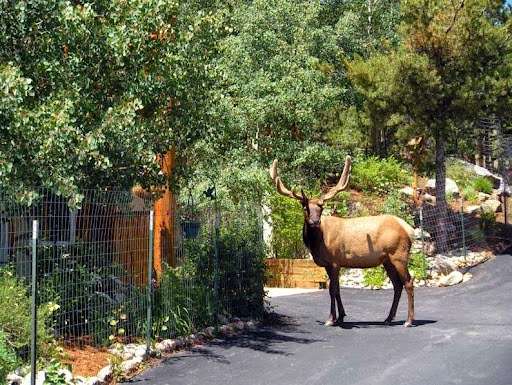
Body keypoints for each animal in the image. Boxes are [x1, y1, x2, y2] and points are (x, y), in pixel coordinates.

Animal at [268, 156, 416, 328]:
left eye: (321, 207)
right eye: (305, 207)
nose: (315, 221)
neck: (317, 243)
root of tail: (408, 229)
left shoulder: (334, 261)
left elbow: (332, 290)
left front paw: (331, 319)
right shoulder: (329, 264)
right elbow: (337, 289)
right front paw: (341, 317)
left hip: (399, 254)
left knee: (408, 282)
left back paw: (408, 320)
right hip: (387, 260)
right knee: (397, 285)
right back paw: (388, 318)